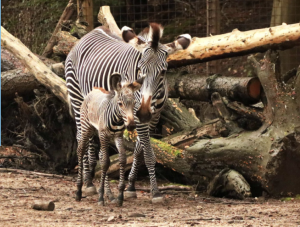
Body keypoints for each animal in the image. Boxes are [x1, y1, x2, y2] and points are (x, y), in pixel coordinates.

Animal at [77, 72, 144, 206]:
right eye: (120, 104)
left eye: (134, 103)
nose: (131, 126)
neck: (117, 119)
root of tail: (94, 89)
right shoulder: (103, 135)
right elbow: (105, 162)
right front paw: (100, 197)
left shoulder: (118, 136)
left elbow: (122, 159)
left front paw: (120, 196)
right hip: (86, 128)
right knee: (81, 150)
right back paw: (78, 191)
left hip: (96, 132)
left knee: (99, 154)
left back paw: (109, 194)